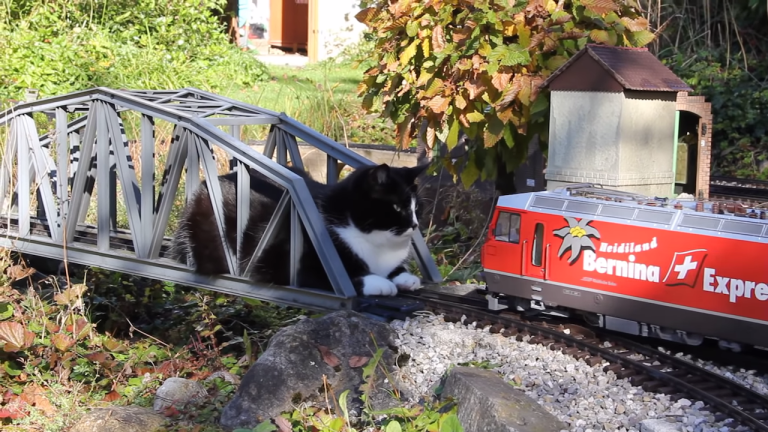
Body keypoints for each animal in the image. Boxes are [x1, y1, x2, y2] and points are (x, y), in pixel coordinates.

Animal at [169, 163, 428, 296]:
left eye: (416, 207)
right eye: (397, 207)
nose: (414, 225)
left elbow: (396, 270)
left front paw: (405, 277)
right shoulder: (293, 267)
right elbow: (349, 279)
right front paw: (381, 283)